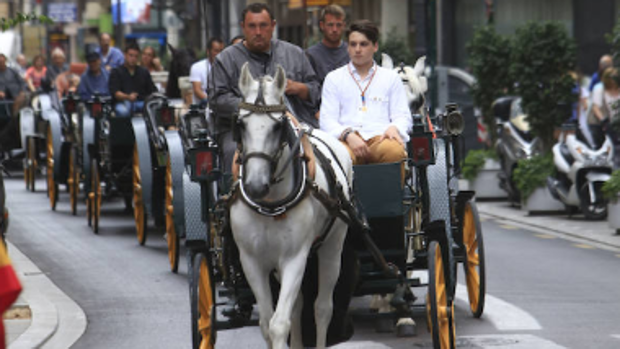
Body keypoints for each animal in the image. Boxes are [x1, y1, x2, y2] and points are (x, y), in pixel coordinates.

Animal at [229, 63, 354, 348]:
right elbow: (267, 323)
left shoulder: (294, 257)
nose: (255, 186)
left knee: (322, 307)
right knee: (298, 306)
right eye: (240, 124)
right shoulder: (251, 260)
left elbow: (279, 324)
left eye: (278, 127)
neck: (270, 205)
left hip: (333, 246)